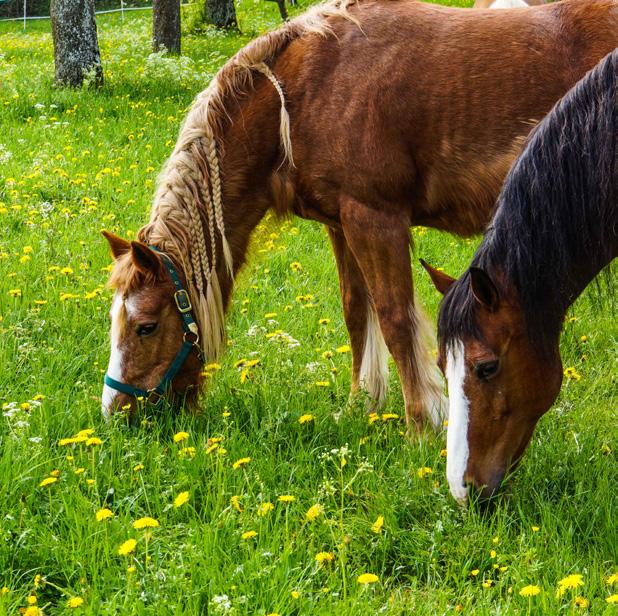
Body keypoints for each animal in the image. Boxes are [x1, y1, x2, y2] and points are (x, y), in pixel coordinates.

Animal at [102, 0, 616, 434]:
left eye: (146, 325)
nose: (115, 413)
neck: (306, 88)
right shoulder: (340, 223)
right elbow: (356, 312)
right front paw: (360, 404)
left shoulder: (375, 218)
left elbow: (395, 319)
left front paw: (421, 424)